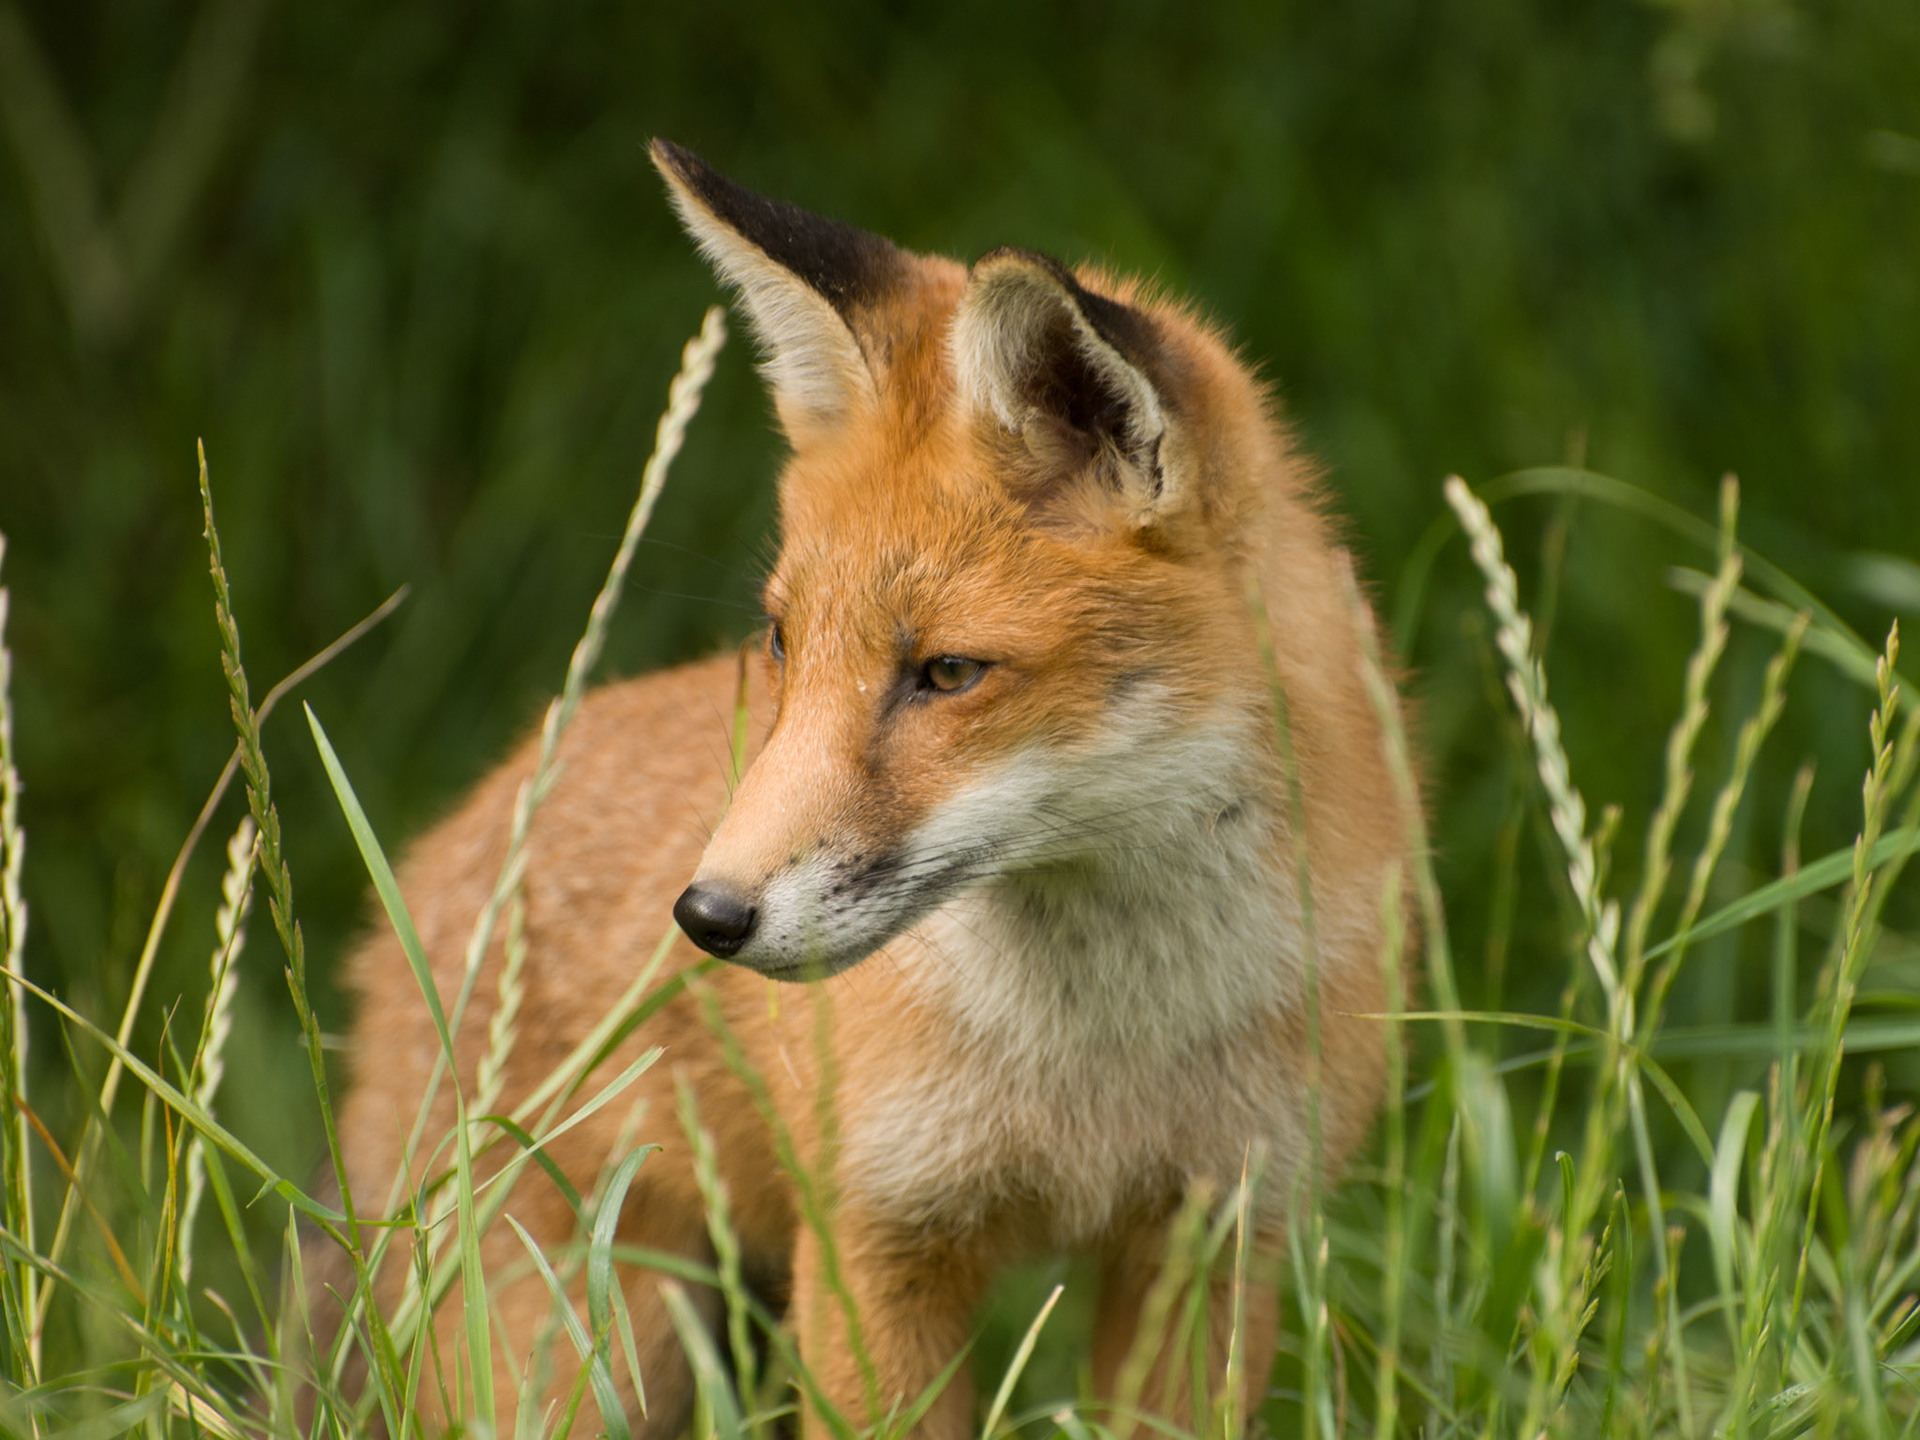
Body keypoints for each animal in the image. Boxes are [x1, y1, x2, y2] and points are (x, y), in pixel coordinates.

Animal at [323, 140, 1417, 1439]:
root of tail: (464, 820)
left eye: (946, 673)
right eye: (783, 641)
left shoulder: (1213, 1236)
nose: (708, 917)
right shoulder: (871, 1237)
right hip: (582, 1348)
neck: (1101, 1061)